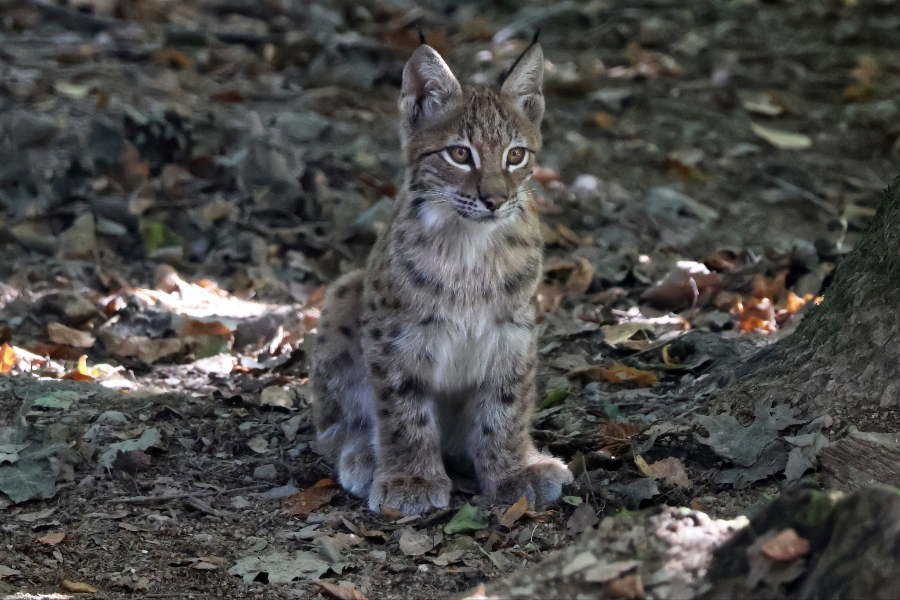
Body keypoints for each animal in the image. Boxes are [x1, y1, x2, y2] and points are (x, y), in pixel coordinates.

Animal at [310, 38, 572, 516]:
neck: (470, 243)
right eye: (460, 154)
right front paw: (410, 479)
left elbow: (506, 404)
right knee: (330, 429)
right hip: (344, 290)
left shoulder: (514, 329)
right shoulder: (394, 333)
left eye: (515, 155)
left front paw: (513, 470)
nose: (495, 200)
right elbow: (402, 410)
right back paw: (363, 454)